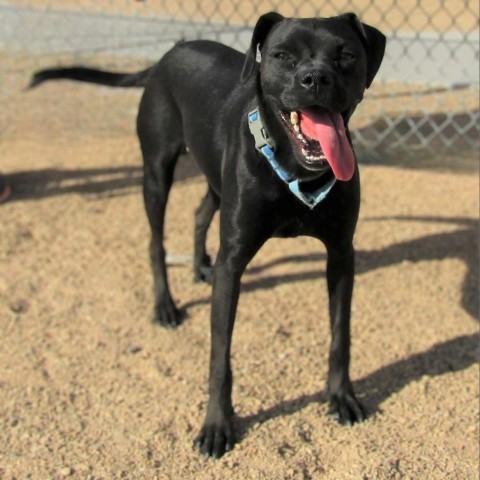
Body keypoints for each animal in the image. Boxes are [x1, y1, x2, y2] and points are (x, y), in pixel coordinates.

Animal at [31, 13, 386, 460]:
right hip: (157, 172)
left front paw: (341, 396)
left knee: (200, 213)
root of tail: (169, 53)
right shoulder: (232, 263)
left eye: (347, 55)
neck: (294, 170)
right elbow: (220, 356)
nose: (316, 78)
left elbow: (341, 335)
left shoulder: (340, 254)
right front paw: (217, 424)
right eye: (282, 56)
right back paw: (165, 305)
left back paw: (200, 265)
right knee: (155, 243)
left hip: (214, 181)